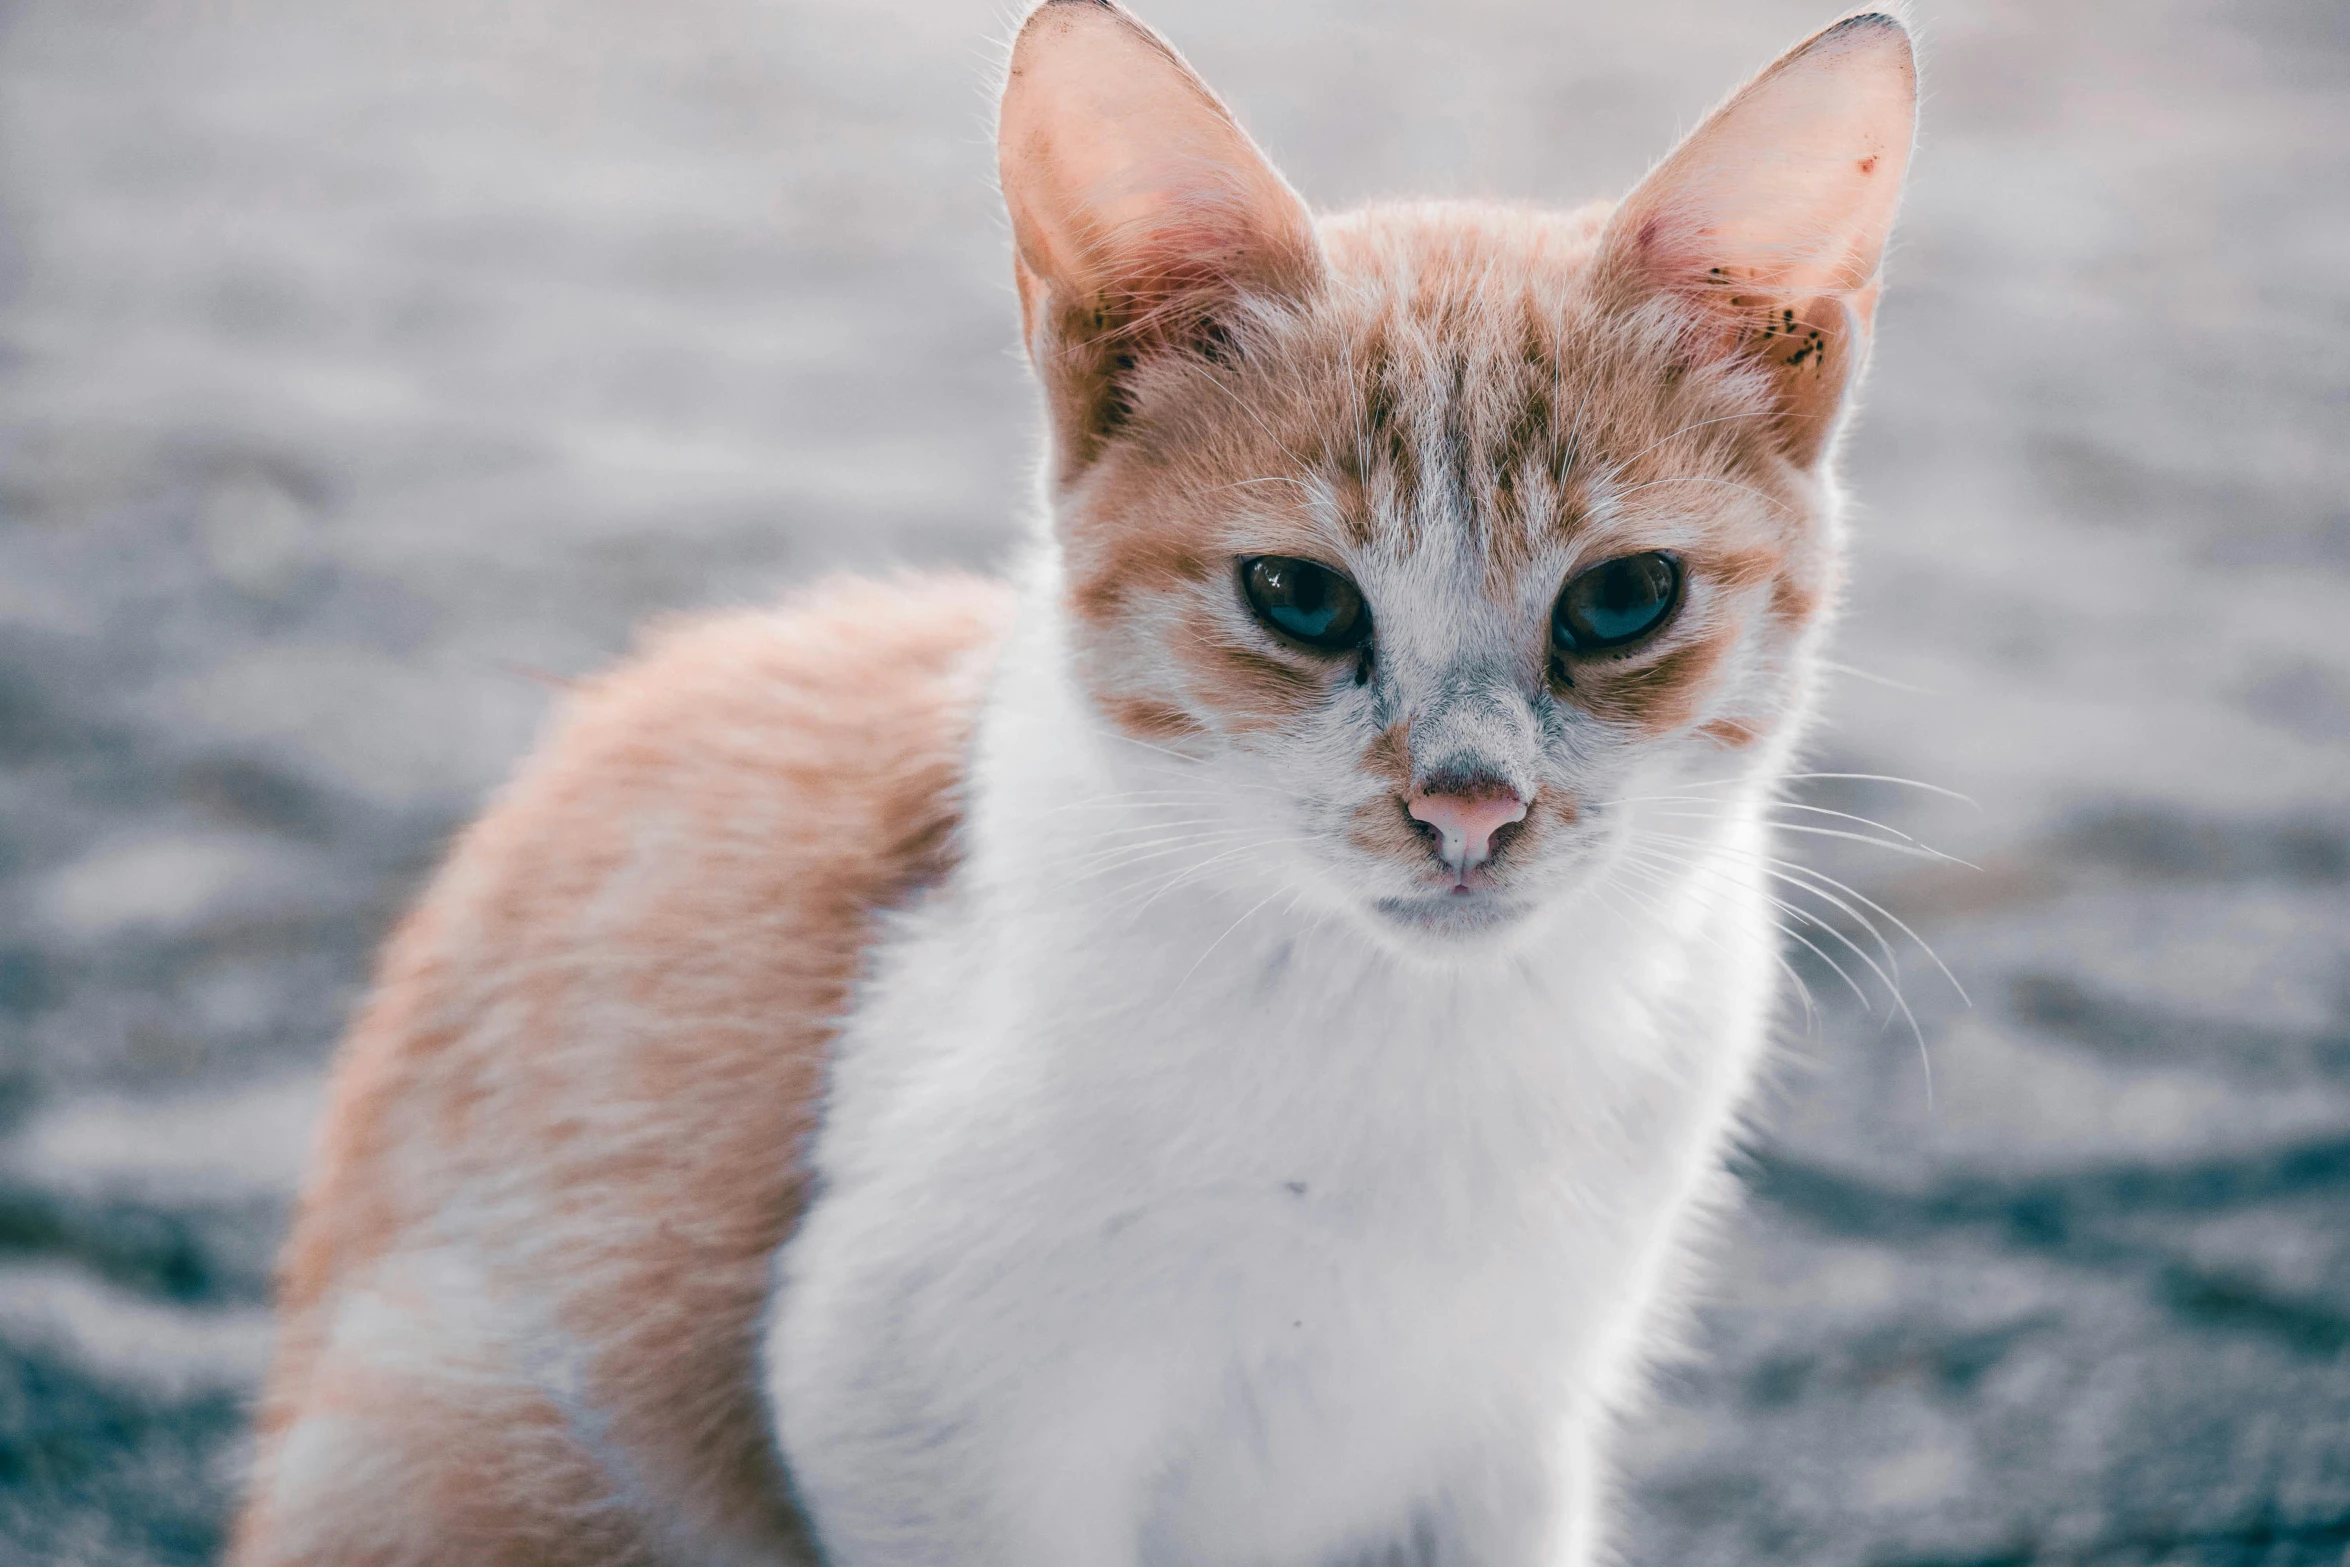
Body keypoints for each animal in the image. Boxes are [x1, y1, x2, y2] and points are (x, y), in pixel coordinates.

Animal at [224, 6, 1908, 1559]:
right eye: (1298, 598)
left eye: (1620, 600)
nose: (1468, 804)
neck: (1422, 1041)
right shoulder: (910, 1397)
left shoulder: (1507, 1436)